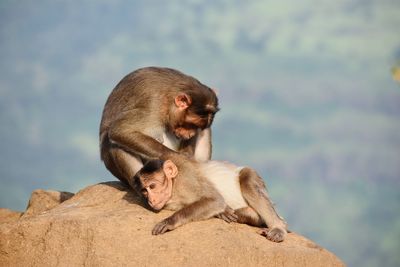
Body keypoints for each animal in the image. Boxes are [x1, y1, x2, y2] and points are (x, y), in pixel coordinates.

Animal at [134, 157, 288, 243]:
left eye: (152, 186)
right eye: (144, 191)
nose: (151, 200)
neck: (174, 187)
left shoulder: (188, 179)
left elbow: (215, 200)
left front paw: (169, 221)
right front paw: (223, 211)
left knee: (247, 177)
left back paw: (278, 227)